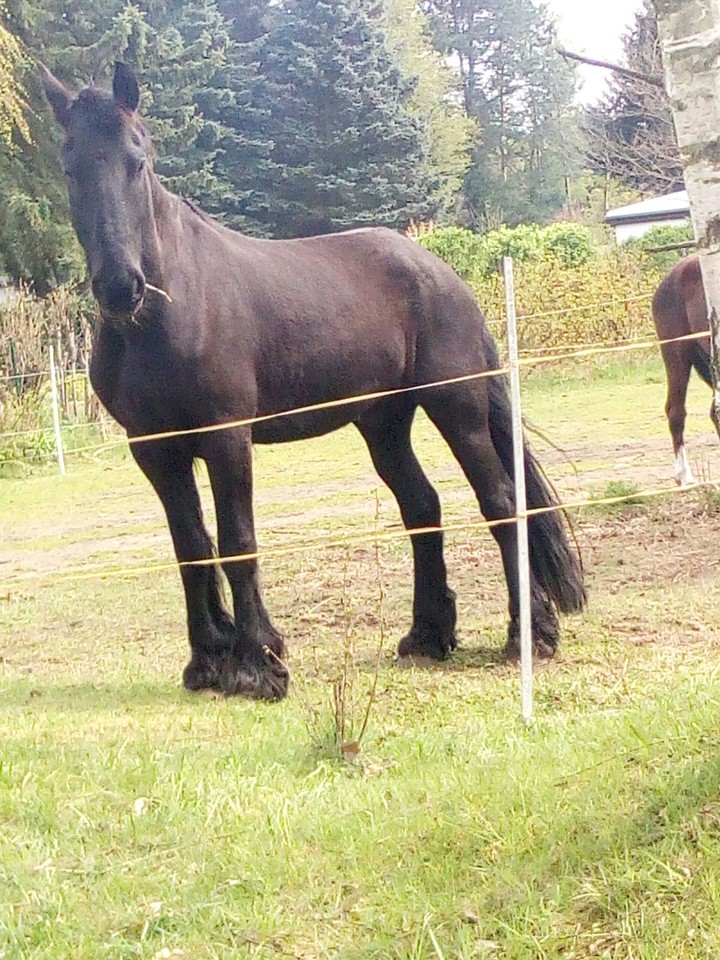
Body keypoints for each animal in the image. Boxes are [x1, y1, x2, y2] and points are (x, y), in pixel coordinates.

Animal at [40, 62, 585, 701]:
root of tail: (445, 275)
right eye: (70, 168)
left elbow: (237, 540)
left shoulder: (227, 436)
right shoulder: (153, 448)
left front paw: (257, 663)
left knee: (499, 501)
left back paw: (530, 633)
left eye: (137, 160)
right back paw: (428, 634)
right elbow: (190, 547)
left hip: (457, 408)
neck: (167, 313)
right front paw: (208, 660)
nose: (120, 286)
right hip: (383, 422)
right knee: (421, 505)